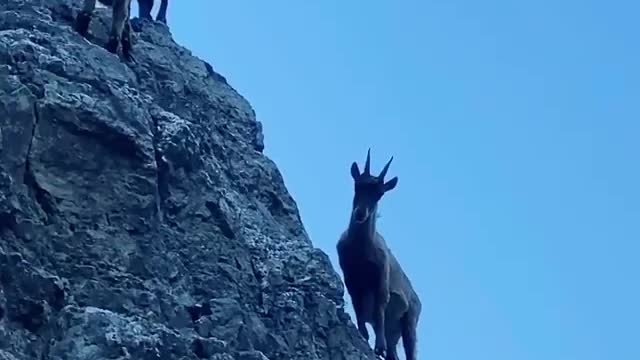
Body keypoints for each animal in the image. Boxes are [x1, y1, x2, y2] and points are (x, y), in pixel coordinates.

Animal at [338, 148, 422, 358]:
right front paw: (363, 334)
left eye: (380, 194)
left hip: (410, 322)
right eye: (357, 186)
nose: (360, 214)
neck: (361, 250)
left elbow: (380, 307)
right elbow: (358, 306)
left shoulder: (381, 277)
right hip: (396, 333)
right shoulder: (351, 277)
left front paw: (378, 346)